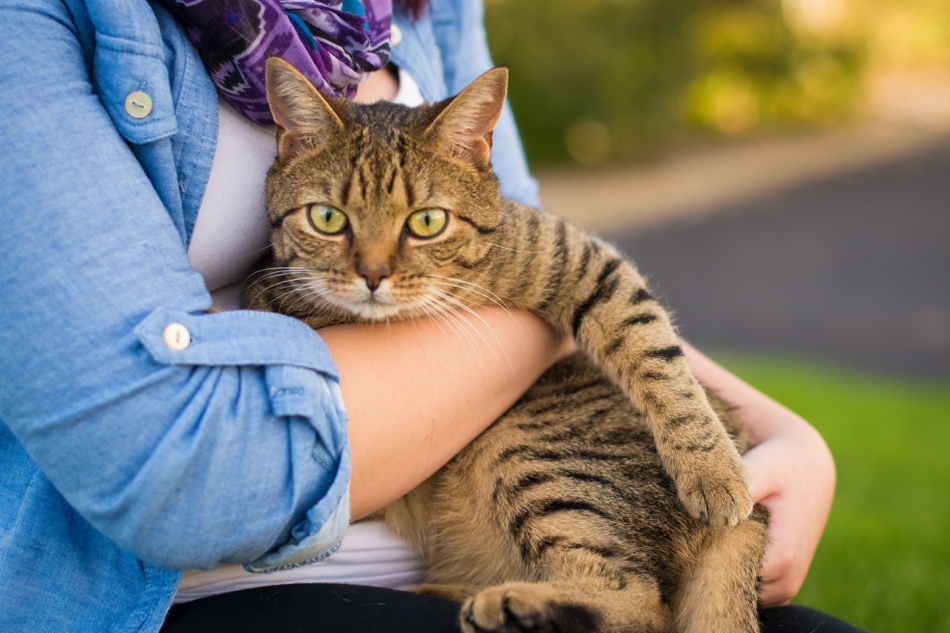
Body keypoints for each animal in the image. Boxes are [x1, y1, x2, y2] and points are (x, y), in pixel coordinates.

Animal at [247, 56, 772, 628]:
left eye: (426, 222)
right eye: (328, 218)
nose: (373, 275)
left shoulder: (587, 262)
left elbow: (658, 353)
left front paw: (713, 472)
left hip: (531, 455)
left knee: (640, 598)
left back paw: (507, 602)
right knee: (638, 599)